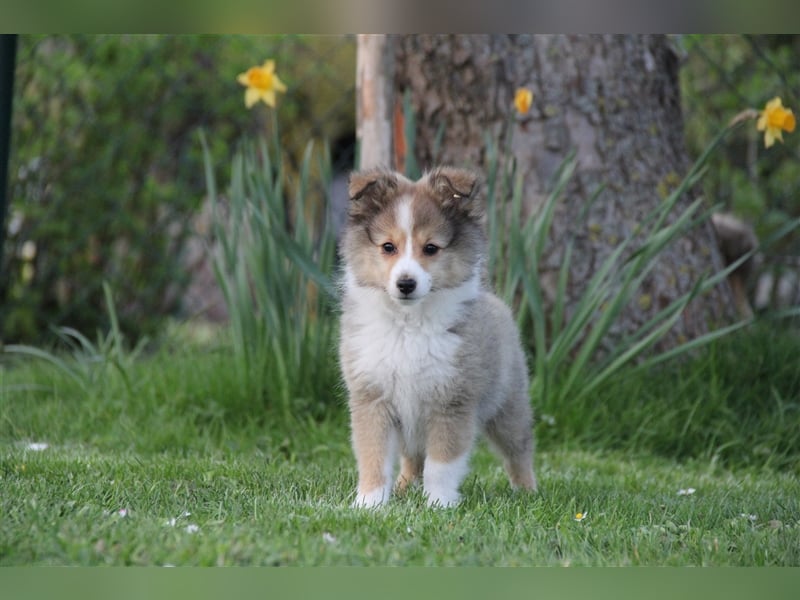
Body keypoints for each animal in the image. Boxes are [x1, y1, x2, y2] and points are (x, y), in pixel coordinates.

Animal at [340, 166, 536, 508]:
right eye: (388, 247)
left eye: (430, 248)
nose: (406, 284)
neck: (408, 325)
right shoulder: (372, 398)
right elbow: (373, 457)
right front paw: (369, 504)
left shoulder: (452, 401)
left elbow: (441, 464)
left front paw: (438, 505)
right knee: (411, 458)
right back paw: (403, 488)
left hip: (508, 407)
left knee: (519, 449)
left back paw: (528, 492)